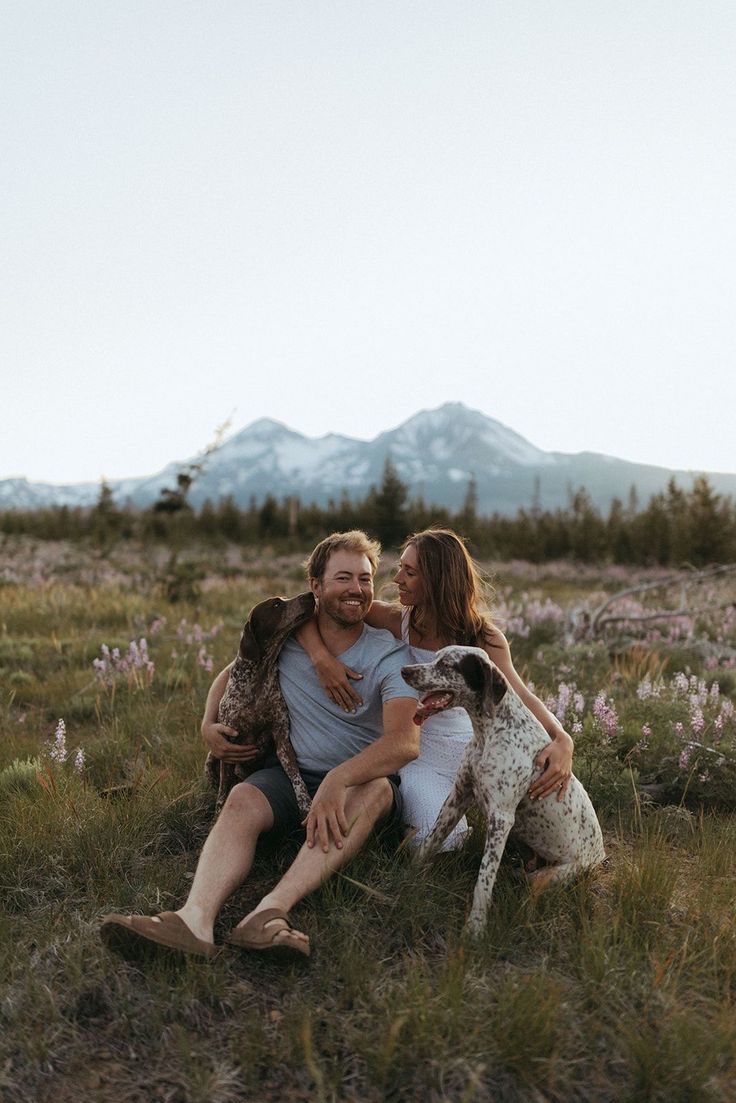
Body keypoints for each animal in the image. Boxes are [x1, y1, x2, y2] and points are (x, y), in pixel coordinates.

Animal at [204, 595, 317, 820]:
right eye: (276, 604)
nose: (309, 595)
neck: (259, 676)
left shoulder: (282, 739)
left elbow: (296, 776)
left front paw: (306, 804)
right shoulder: (228, 745)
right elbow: (222, 791)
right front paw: (217, 814)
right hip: (213, 756)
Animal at [403, 644, 604, 930]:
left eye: (446, 665)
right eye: (435, 657)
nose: (404, 670)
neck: (489, 733)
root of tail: (601, 855)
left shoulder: (501, 818)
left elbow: (484, 878)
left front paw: (476, 925)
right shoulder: (458, 797)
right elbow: (430, 841)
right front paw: (407, 877)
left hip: (551, 874)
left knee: (532, 890)